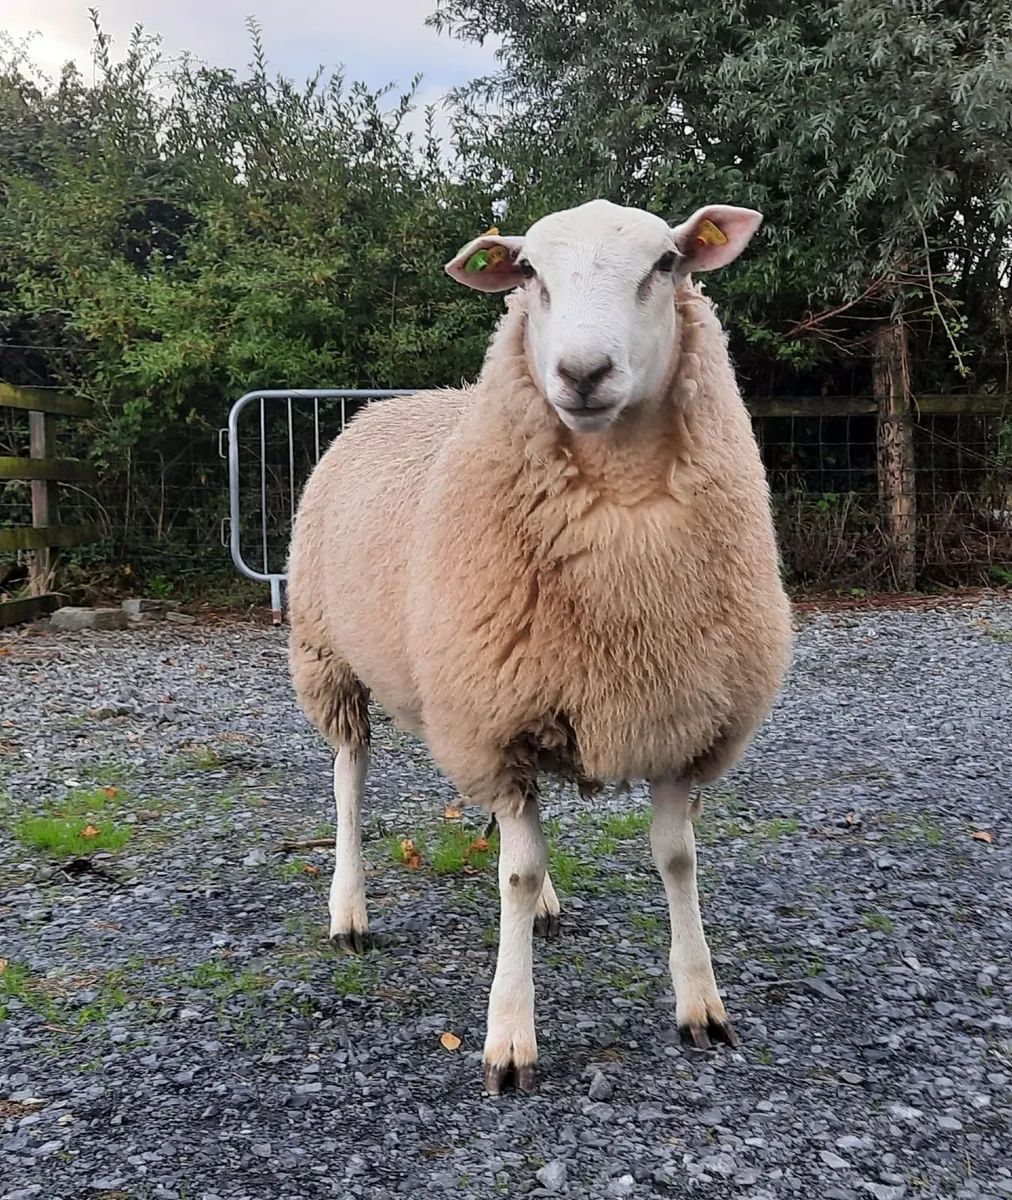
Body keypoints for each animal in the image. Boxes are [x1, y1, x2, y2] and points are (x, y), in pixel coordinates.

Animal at [287, 198, 793, 1095]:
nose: (582, 373)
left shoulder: (673, 715)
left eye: (666, 264)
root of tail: (384, 404)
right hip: (331, 657)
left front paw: (701, 1003)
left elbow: (677, 860)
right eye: (529, 274)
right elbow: (513, 876)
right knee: (350, 780)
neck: (623, 511)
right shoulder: (497, 725)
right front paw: (509, 1036)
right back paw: (350, 910)